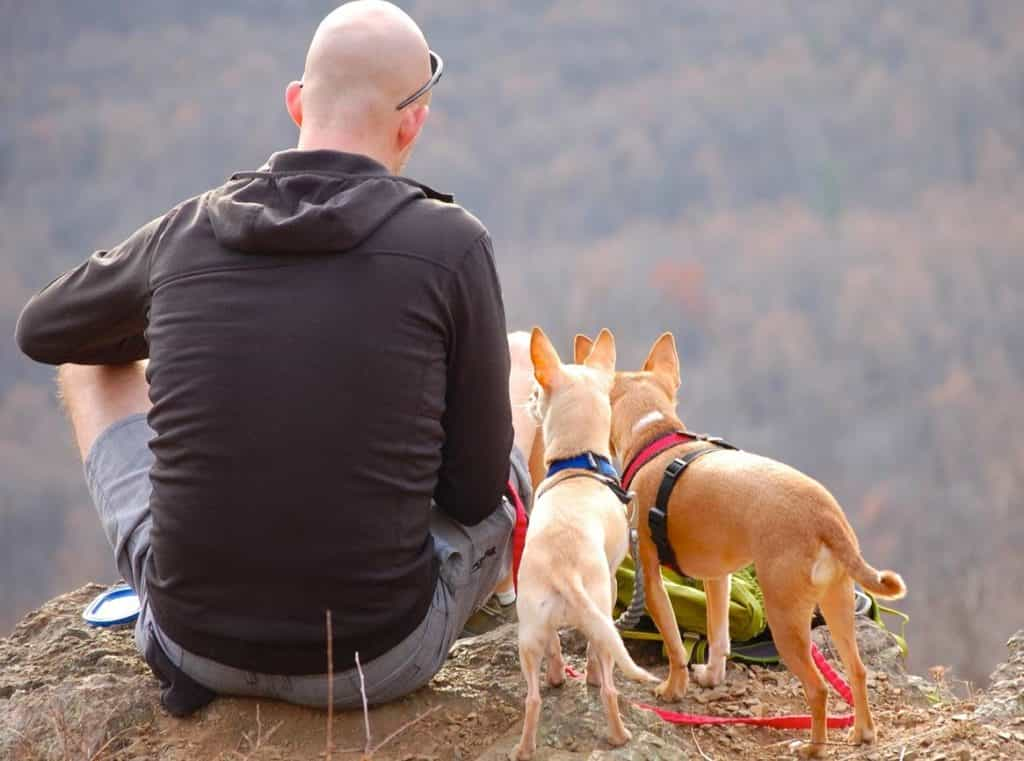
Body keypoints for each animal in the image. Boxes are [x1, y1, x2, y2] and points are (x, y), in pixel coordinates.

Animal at [509, 327, 655, 761]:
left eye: (537, 392)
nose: (529, 401)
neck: (580, 462)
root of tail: (564, 569)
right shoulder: (612, 586)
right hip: (600, 613)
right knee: (607, 684)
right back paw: (619, 735)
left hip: (529, 631)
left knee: (534, 695)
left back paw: (526, 745)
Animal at [577, 333, 905, 761]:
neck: (655, 435)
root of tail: (825, 517)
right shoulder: (718, 578)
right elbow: (718, 636)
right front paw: (711, 677)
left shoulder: (650, 578)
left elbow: (675, 645)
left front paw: (674, 689)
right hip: (838, 604)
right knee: (857, 670)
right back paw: (862, 733)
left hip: (786, 619)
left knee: (818, 688)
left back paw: (812, 747)